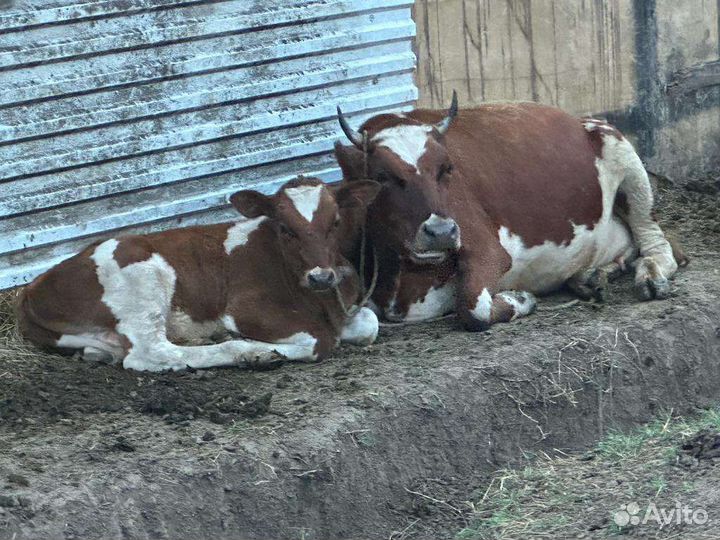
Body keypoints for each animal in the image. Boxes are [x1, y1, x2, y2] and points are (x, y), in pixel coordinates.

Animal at [15, 177, 381, 371]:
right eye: (284, 228)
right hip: (143, 281)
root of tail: (33, 288)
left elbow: (370, 324)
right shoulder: (245, 309)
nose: (322, 277)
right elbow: (321, 340)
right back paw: (246, 351)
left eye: (335, 222)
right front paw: (256, 348)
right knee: (149, 353)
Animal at [334, 94, 682, 330]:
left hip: (622, 154)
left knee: (657, 243)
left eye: (446, 169)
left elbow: (473, 308)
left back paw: (651, 275)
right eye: (382, 176)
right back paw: (591, 276)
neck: (400, 279)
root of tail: (576, 119)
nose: (442, 232)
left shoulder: (489, 250)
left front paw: (520, 299)